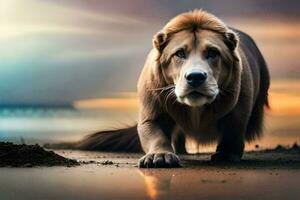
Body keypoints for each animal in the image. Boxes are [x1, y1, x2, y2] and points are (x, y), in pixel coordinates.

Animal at [55, 10, 270, 168]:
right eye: (179, 53)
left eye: (212, 53)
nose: (195, 77)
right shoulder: (152, 111)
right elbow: (155, 134)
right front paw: (159, 156)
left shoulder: (238, 109)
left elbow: (232, 131)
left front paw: (225, 155)